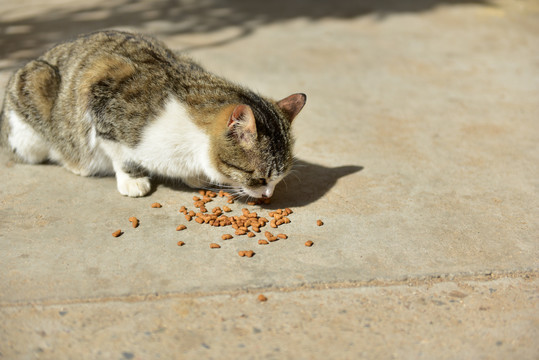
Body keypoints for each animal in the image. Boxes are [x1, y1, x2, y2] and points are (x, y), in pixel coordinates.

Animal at [0, 30, 306, 200]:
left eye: (278, 179)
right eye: (261, 179)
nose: (268, 194)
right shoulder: (101, 92)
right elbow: (121, 154)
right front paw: (133, 179)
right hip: (34, 99)